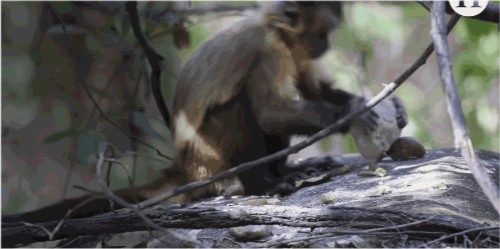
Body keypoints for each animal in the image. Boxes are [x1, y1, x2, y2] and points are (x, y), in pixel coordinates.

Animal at [169, 0, 382, 200]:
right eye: (324, 32)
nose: (327, 45)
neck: (277, 30)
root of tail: (184, 172)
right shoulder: (269, 48)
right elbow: (269, 114)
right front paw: (352, 114)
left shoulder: (296, 52)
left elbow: (315, 93)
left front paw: (359, 102)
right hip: (207, 164)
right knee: (241, 105)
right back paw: (262, 184)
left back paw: (284, 172)